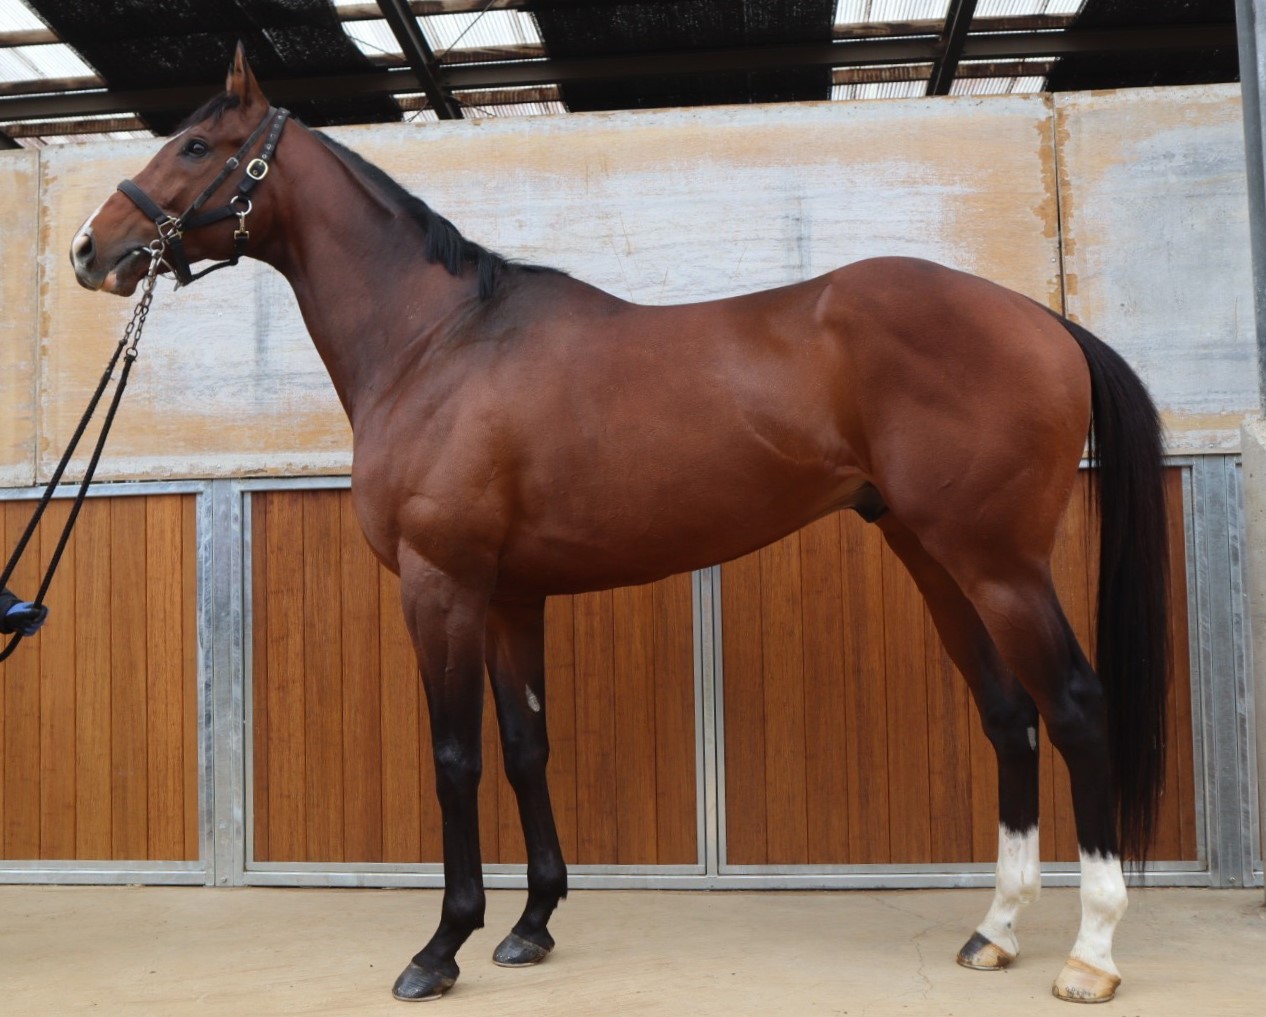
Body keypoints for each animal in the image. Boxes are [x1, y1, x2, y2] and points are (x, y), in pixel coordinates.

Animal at [70, 45, 1169, 1005]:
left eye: (196, 146)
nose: (91, 250)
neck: (438, 345)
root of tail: (1047, 322)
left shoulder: (442, 585)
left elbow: (456, 758)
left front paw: (442, 946)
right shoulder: (511, 595)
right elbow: (526, 746)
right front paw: (530, 925)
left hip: (1000, 563)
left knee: (1074, 706)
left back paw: (1092, 954)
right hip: (934, 556)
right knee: (1009, 716)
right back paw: (996, 931)